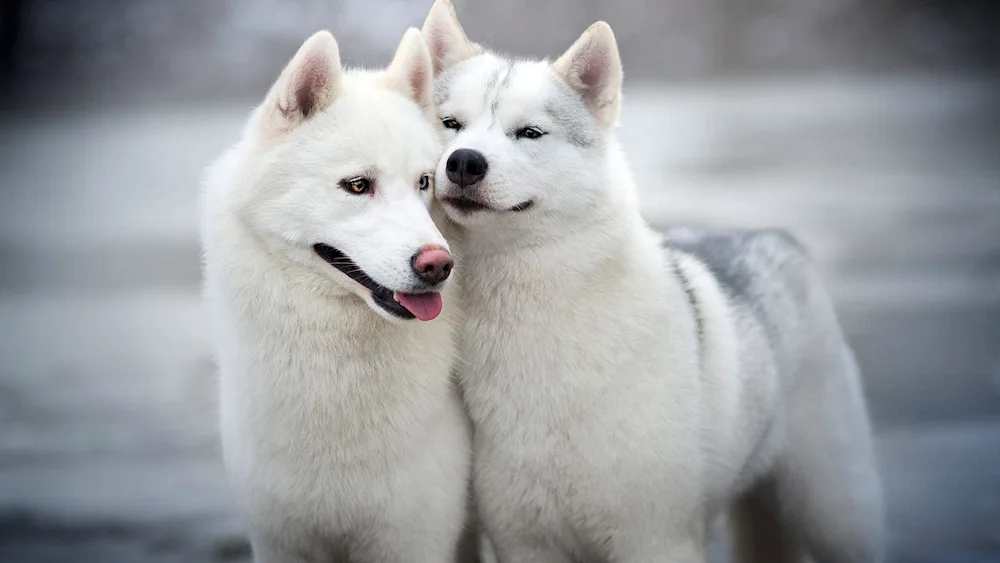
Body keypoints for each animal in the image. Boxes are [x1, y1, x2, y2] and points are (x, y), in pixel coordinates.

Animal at [420, 2, 884, 560]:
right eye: (451, 123)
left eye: (529, 133)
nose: (464, 162)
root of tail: (773, 235)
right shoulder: (526, 541)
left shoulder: (656, 539)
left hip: (835, 520)